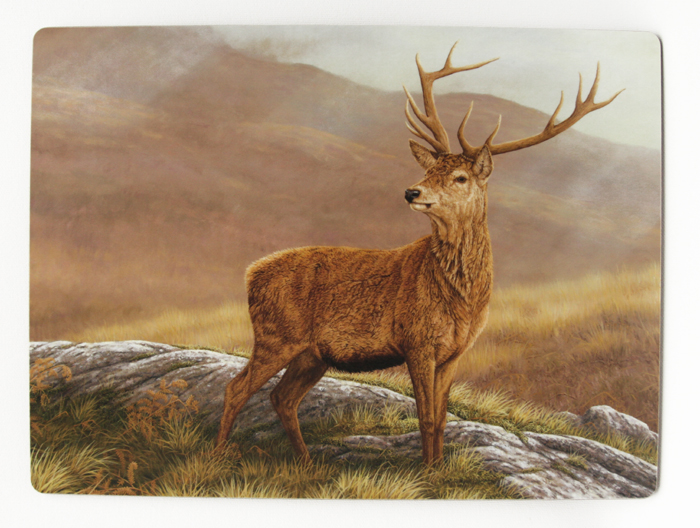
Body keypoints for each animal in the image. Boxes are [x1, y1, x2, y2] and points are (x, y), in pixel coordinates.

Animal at [215, 43, 622, 465]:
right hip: (276, 335)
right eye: (429, 171)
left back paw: (307, 463)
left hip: (312, 354)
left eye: (460, 177)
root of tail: (251, 273)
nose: (412, 191)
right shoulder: (417, 341)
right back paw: (216, 457)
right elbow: (425, 417)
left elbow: (441, 418)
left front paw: (438, 468)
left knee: (282, 398)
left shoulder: (454, 352)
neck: (461, 299)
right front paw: (426, 471)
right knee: (236, 388)